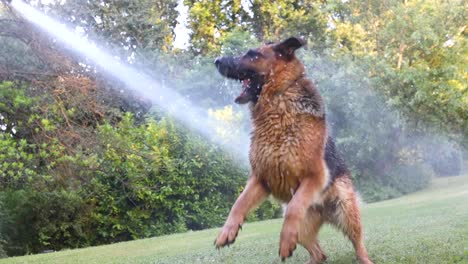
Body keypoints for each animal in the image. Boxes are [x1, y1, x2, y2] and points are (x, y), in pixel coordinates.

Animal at [213, 37, 372, 264]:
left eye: (252, 54)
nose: (216, 61)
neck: (278, 103)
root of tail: (323, 211)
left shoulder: (315, 175)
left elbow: (295, 206)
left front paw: (285, 240)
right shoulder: (261, 178)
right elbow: (239, 203)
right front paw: (227, 231)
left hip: (346, 212)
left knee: (358, 244)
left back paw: (365, 258)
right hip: (305, 231)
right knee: (319, 254)